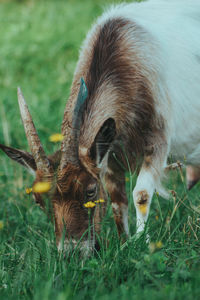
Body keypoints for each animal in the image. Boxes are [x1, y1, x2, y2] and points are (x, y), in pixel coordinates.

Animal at [1, 0, 200, 251]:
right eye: (38, 201)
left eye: (90, 190)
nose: (72, 253)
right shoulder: (110, 152)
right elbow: (117, 200)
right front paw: (124, 242)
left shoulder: (157, 140)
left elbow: (141, 194)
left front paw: (142, 244)